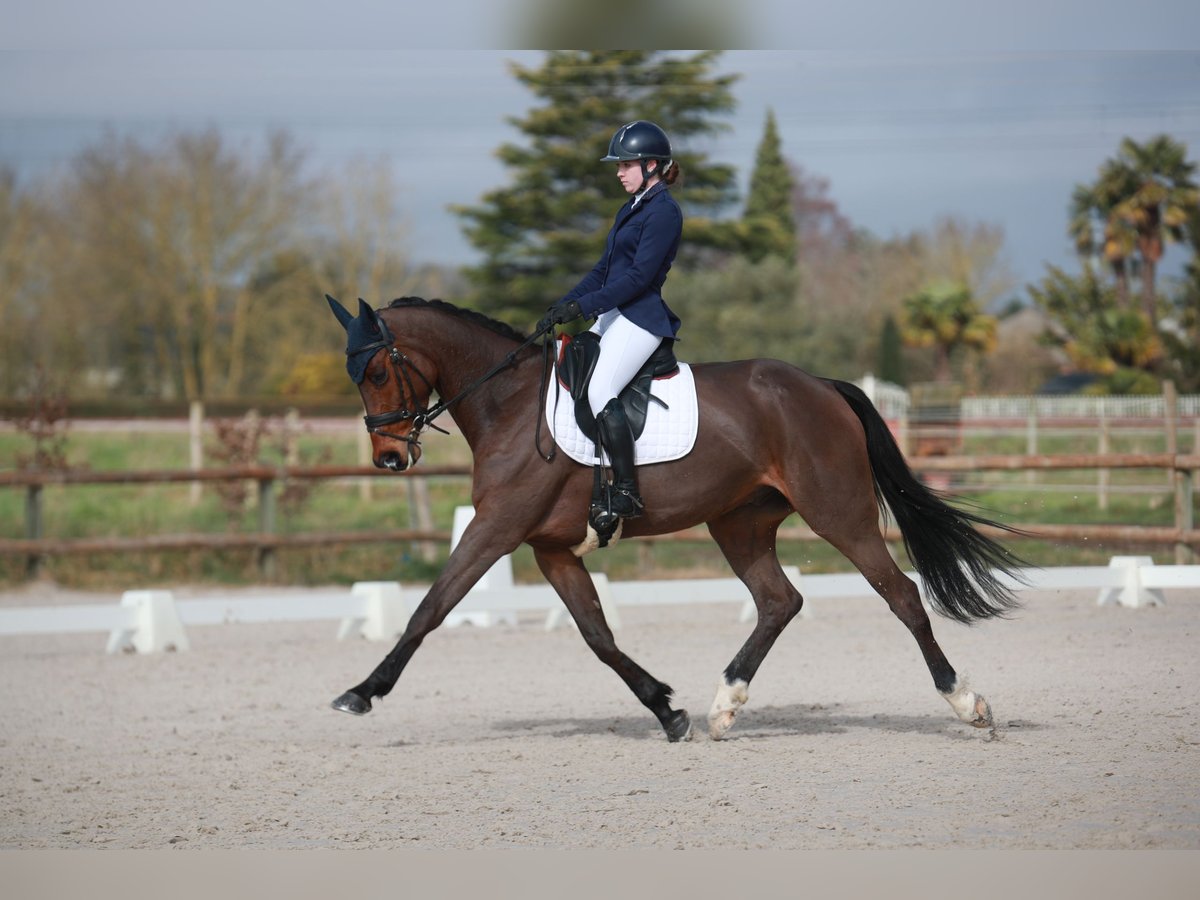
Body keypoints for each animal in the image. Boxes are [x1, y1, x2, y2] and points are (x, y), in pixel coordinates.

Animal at [325, 294, 1025, 742]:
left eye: (379, 369)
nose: (389, 457)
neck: (510, 401)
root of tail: (824, 386)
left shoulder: (495, 528)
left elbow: (430, 608)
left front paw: (362, 691)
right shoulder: (551, 549)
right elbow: (599, 637)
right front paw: (667, 710)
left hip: (838, 513)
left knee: (901, 594)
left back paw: (967, 704)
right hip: (739, 522)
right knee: (779, 601)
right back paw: (724, 707)